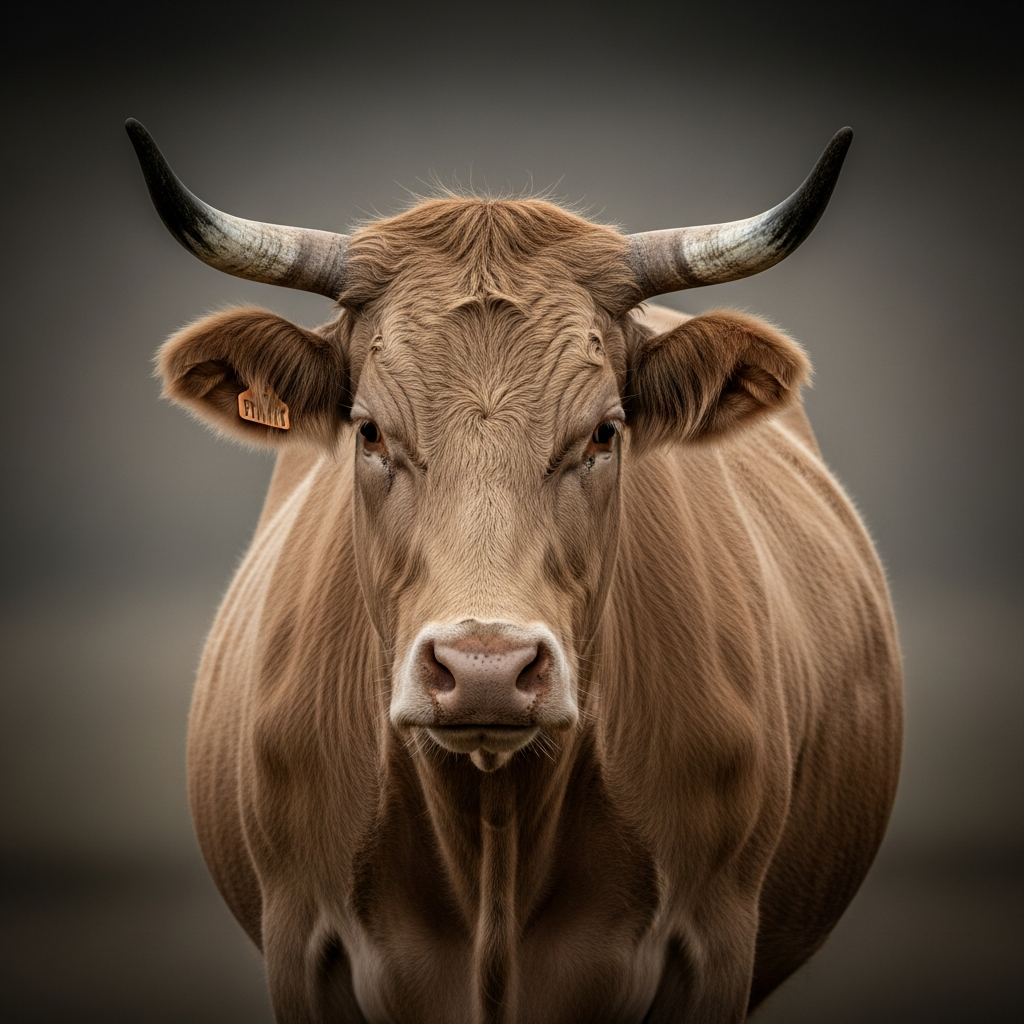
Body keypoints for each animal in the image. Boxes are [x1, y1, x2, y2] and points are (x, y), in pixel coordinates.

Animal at [126, 119, 902, 1024]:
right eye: (370, 429)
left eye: (603, 432)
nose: (485, 669)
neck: (493, 835)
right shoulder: (301, 944)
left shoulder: (715, 940)